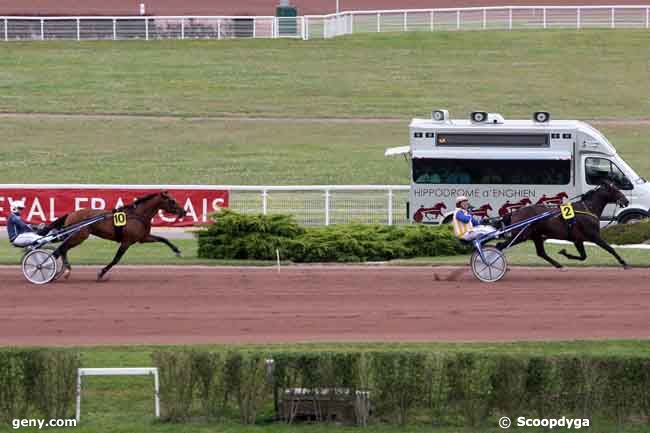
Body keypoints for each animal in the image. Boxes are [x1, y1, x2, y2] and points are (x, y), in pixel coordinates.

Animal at [44, 190, 186, 278]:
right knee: (61, 249)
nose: (184, 211)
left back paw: (64, 270)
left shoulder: (143, 238)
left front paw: (177, 250)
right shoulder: (126, 242)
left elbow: (163, 239)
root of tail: (71, 214)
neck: (137, 215)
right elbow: (116, 259)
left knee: (63, 249)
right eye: (172, 200)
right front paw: (101, 273)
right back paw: (48, 267)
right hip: (79, 236)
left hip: (77, 236)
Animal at [496, 180, 628, 268]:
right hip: (521, 235)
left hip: (536, 236)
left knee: (541, 253)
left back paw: (558, 265)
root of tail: (514, 213)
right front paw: (624, 262)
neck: (588, 208)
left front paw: (564, 253)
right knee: (499, 246)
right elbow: (610, 249)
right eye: (616, 190)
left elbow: (583, 256)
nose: (626, 201)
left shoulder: (577, 239)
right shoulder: (594, 236)